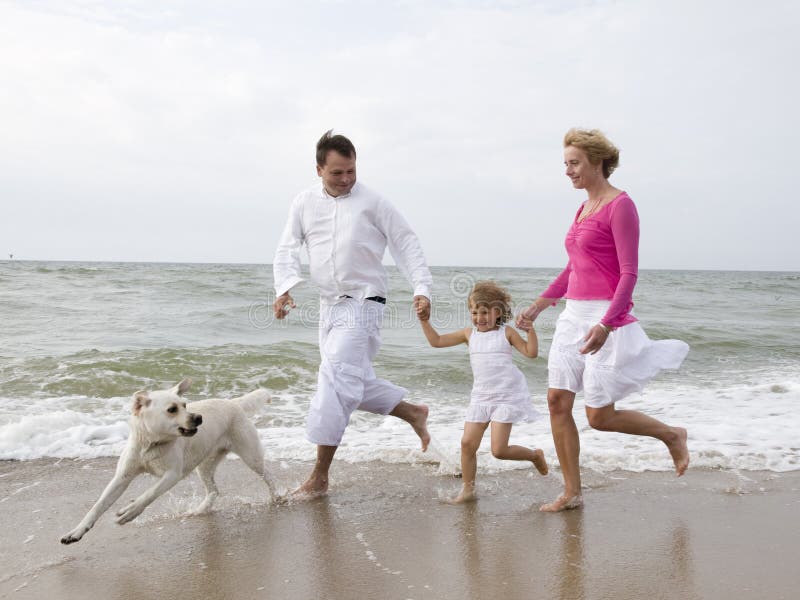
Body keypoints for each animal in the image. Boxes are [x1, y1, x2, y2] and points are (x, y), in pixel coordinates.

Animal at [61, 380, 276, 544]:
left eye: (185, 405)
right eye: (172, 409)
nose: (199, 418)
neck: (152, 444)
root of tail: (233, 403)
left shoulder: (172, 474)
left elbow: (149, 494)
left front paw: (130, 511)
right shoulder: (122, 477)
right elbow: (97, 506)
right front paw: (75, 533)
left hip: (250, 455)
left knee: (268, 476)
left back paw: (277, 498)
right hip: (205, 465)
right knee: (214, 490)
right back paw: (199, 510)